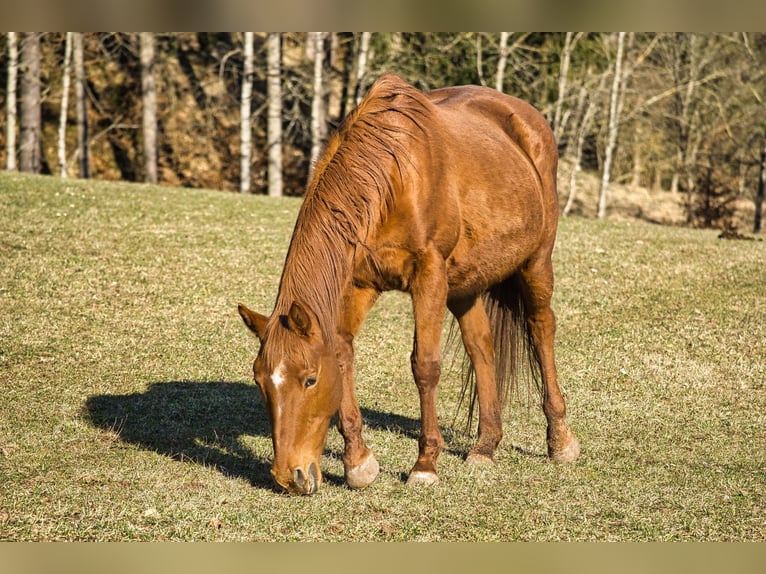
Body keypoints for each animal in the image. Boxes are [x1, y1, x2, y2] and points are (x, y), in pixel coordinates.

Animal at [238, 73, 580, 495]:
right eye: (260, 381)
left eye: (309, 380)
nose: (291, 476)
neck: (391, 179)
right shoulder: (358, 284)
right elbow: (343, 353)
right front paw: (358, 462)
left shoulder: (428, 275)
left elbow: (425, 366)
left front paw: (425, 465)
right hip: (465, 284)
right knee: (481, 347)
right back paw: (485, 446)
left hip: (535, 263)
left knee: (541, 329)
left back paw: (560, 440)